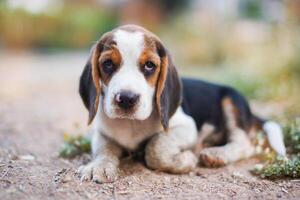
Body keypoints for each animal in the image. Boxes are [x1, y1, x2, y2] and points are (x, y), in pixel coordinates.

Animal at [78, 24, 286, 183]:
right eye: (108, 64)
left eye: (149, 65)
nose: (127, 99)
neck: (131, 124)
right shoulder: (102, 134)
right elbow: (103, 150)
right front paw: (99, 166)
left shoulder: (186, 127)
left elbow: (156, 146)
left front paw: (185, 159)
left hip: (232, 100)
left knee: (244, 144)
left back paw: (217, 154)